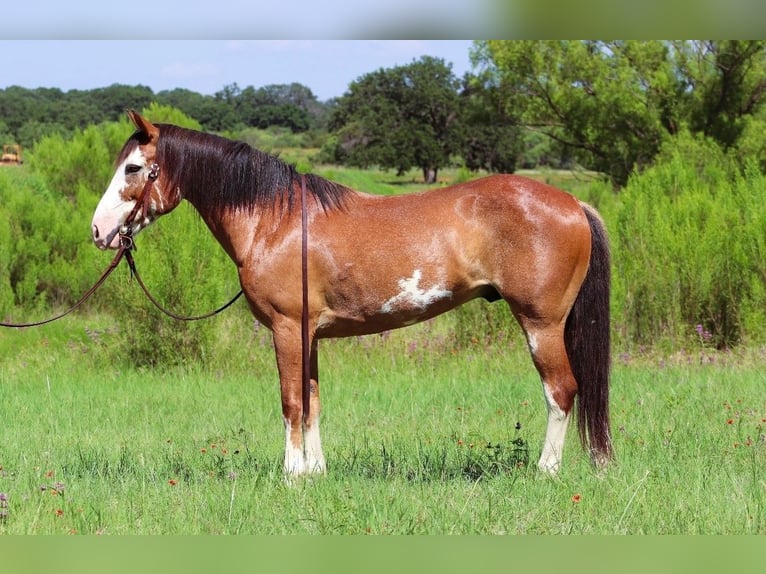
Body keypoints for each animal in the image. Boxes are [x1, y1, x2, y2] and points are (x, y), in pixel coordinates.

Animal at [90, 111, 616, 476]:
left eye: (134, 167)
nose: (98, 231)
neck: (276, 220)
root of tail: (573, 203)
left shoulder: (286, 329)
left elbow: (291, 401)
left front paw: (290, 475)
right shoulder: (310, 335)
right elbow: (313, 401)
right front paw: (315, 473)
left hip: (541, 324)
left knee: (561, 390)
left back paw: (546, 471)